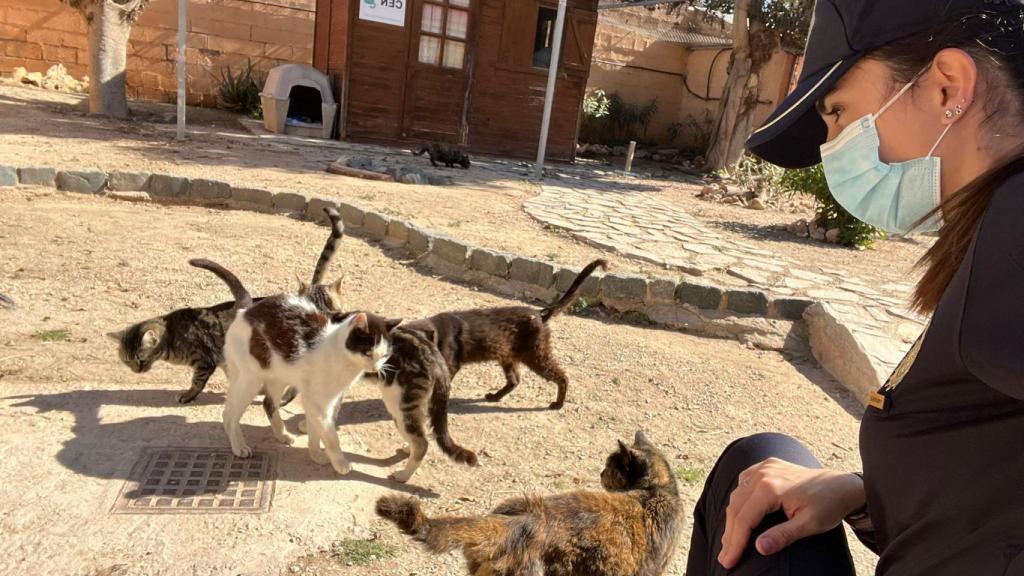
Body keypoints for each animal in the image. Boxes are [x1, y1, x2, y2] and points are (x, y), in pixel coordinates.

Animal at [106, 206, 348, 407]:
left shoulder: (204, 361)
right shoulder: (224, 358)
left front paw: (187, 396)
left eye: (140, 359)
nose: (137, 371)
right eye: (127, 361)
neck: (172, 335)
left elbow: (197, 382)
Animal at [192, 256, 399, 471]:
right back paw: (239, 446)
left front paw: (316, 455)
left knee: (264, 404)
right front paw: (341, 464)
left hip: (275, 377)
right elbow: (331, 437)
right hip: (251, 379)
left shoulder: (321, 401)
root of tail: (246, 310)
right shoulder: (319, 404)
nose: (375, 368)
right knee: (230, 414)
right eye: (368, 353)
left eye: (384, 355)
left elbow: (316, 434)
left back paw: (281, 435)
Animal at [376, 323, 475, 479]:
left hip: (399, 406)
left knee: (422, 443)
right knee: (418, 435)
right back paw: (408, 450)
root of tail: (438, 360)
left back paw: (403, 476)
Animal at [401, 255, 606, 407]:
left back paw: (558, 404)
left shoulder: (450, 365)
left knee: (562, 376)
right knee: (514, 380)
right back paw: (495, 397)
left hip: (536, 355)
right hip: (508, 356)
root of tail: (540, 314)